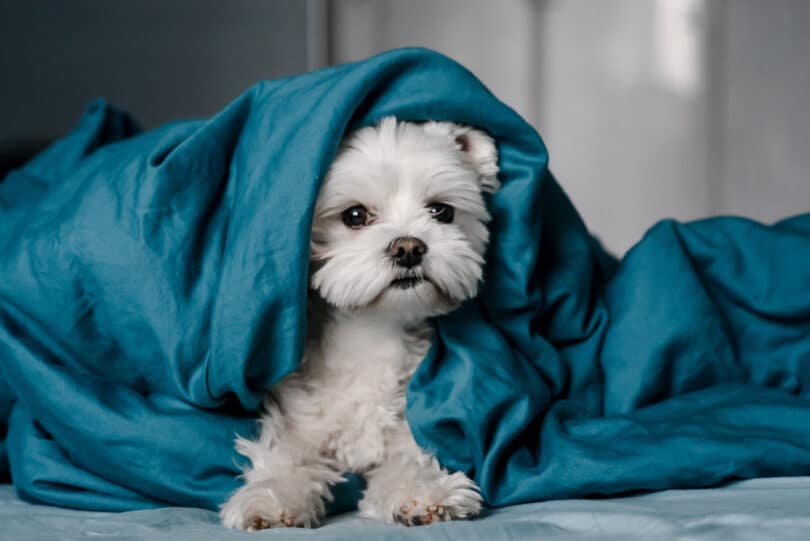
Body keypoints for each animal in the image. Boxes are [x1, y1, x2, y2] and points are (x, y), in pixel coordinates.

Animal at [221, 117, 498, 528]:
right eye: (354, 216)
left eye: (441, 211)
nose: (408, 248)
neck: (371, 336)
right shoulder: (297, 419)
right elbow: (288, 460)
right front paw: (272, 500)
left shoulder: (403, 430)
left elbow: (408, 462)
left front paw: (424, 493)